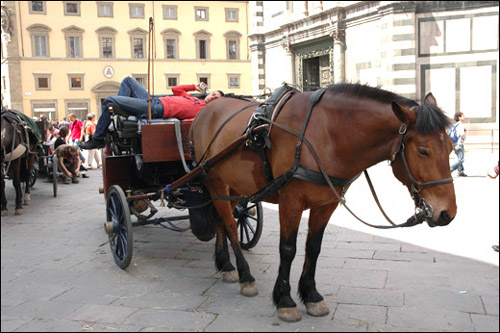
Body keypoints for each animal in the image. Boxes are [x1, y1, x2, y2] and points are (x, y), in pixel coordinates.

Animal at [188, 82, 458, 320]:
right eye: (423, 151)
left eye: (451, 147)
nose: (448, 213)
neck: (325, 134)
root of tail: (207, 108)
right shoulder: (291, 202)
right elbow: (288, 249)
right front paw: (285, 300)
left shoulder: (326, 204)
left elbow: (313, 247)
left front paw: (311, 295)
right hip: (214, 179)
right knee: (230, 225)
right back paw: (245, 276)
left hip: (233, 186)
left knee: (222, 220)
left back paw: (226, 265)